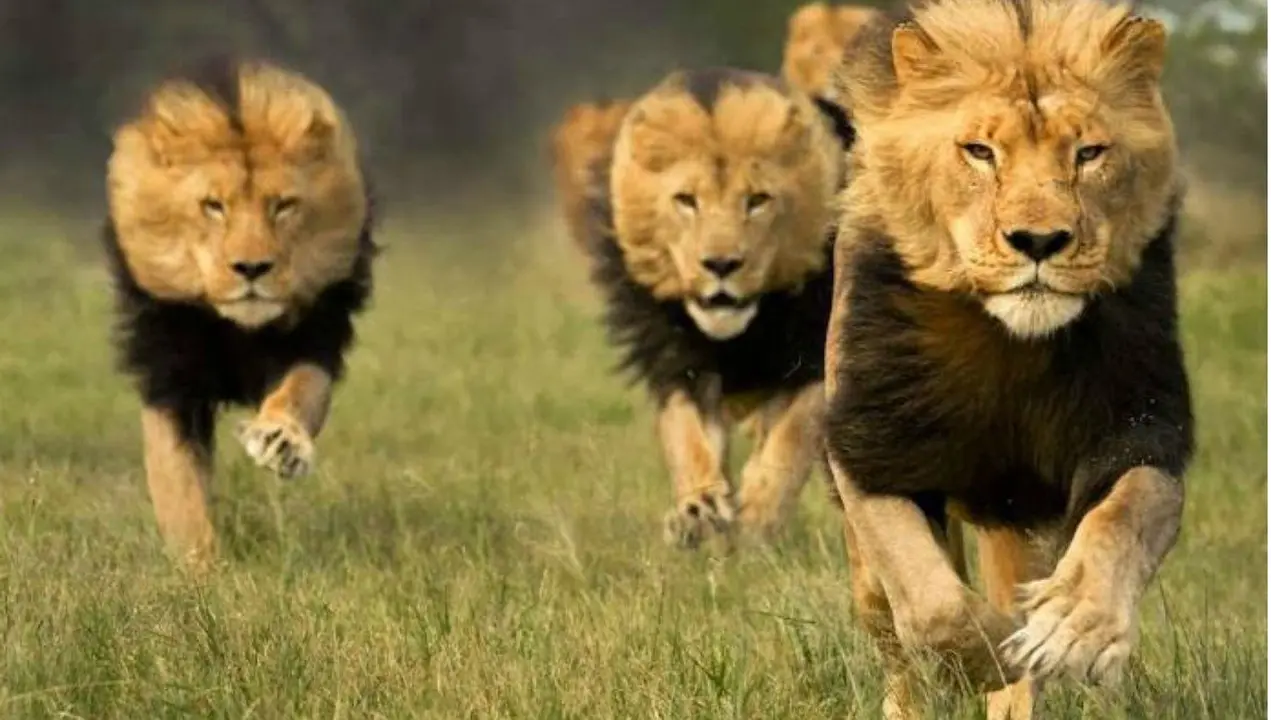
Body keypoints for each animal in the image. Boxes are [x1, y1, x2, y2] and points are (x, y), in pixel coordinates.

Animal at [101, 56, 377, 570]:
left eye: (284, 205)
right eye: (214, 206)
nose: (251, 268)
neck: (235, 330)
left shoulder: (315, 337)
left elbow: (301, 392)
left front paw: (282, 441)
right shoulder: (170, 374)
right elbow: (178, 480)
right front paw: (200, 568)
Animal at [568, 67, 845, 549]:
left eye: (757, 200)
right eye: (686, 200)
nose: (720, 264)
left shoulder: (816, 353)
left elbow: (792, 437)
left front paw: (758, 518)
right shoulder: (676, 356)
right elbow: (685, 433)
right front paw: (697, 510)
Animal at [822, 1, 1192, 717]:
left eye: (1088, 153)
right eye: (980, 152)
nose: (1039, 241)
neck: (1010, 345)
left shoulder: (1140, 427)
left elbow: (1123, 518)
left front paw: (1073, 625)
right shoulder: (869, 445)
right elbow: (933, 603)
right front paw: (987, 657)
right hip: (870, 569)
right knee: (895, 635)